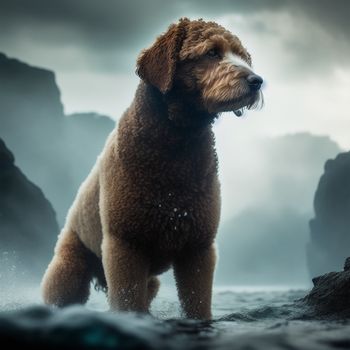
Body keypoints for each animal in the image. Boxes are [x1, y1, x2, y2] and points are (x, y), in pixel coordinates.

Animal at [41, 18, 262, 320]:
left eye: (242, 55)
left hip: (150, 280)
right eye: (212, 52)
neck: (174, 152)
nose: (257, 81)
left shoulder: (198, 246)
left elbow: (197, 303)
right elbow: (127, 302)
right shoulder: (125, 243)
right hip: (71, 266)